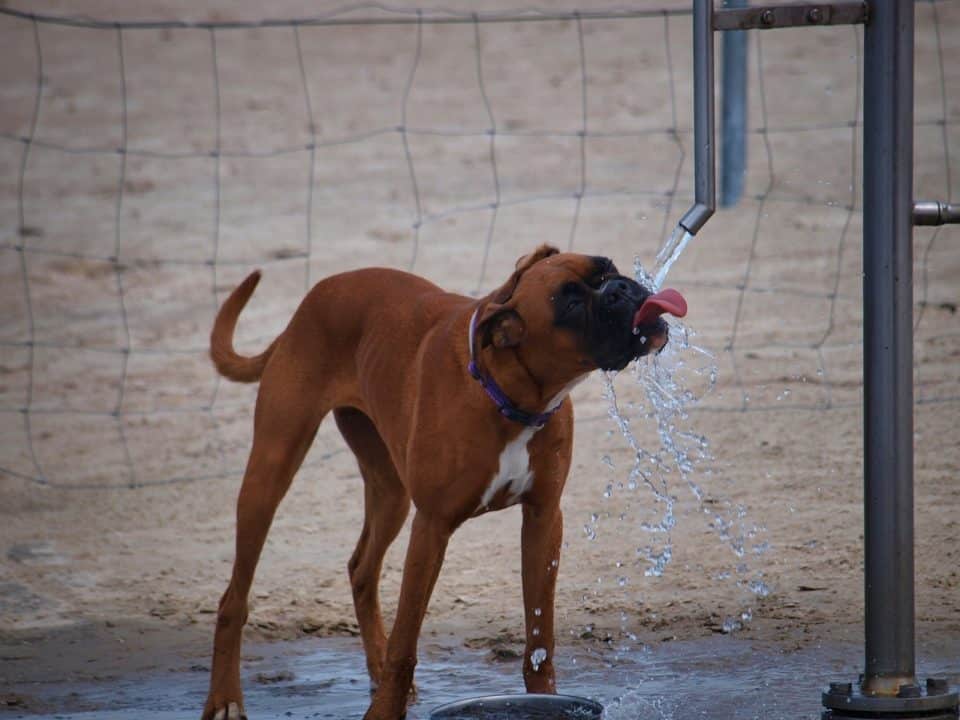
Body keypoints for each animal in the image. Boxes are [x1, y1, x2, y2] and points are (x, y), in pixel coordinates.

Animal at [202, 245, 688, 716]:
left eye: (608, 268)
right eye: (569, 303)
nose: (620, 288)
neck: (508, 393)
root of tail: (309, 301)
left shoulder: (543, 519)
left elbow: (539, 637)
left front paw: (545, 698)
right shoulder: (431, 528)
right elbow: (406, 644)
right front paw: (384, 711)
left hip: (390, 492)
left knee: (362, 569)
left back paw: (373, 669)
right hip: (271, 471)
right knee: (233, 598)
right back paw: (224, 698)